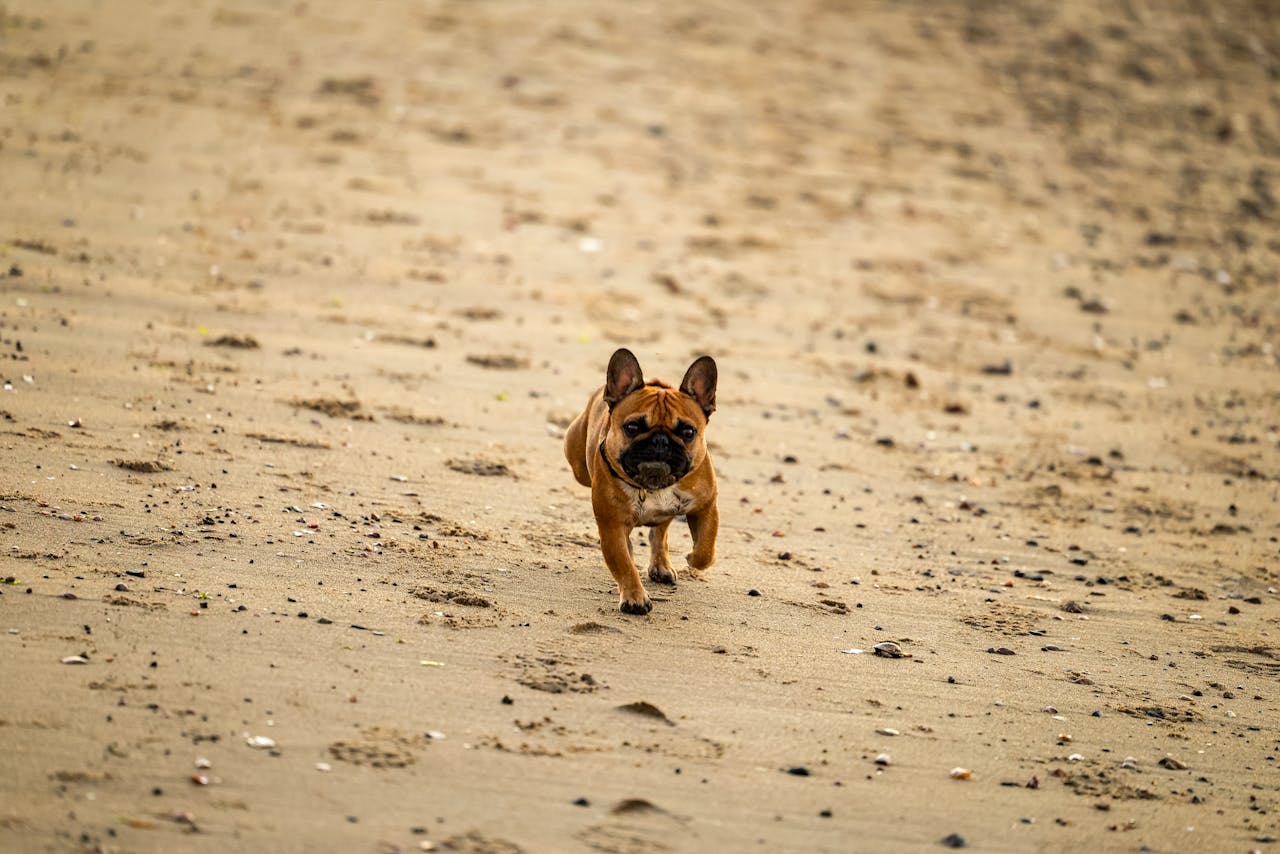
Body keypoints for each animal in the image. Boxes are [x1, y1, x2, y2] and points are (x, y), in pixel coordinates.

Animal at [563, 348, 721, 614]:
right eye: (632, 427)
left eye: (688, 432)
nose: (660, 441)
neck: (652, 486)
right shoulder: (612, 527)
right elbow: (624, 565)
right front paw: (634, 597)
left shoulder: (705, 507)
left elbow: (705, 549)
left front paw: (692, 557)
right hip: (576, 462)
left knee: (660, 533)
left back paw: (662, 566)